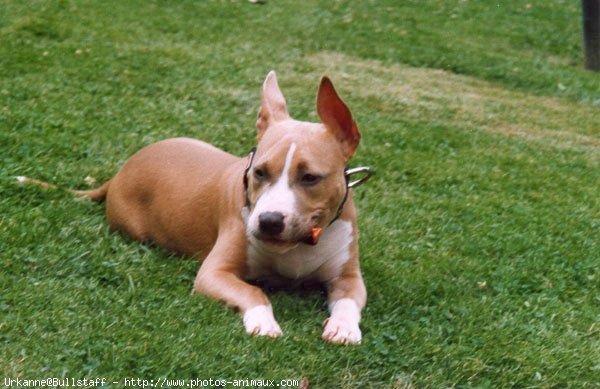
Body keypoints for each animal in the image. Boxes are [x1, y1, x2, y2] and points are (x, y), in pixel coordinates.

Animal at [19, 71, 370, 344]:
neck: (299, 245)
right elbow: (254, 292)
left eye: (310, 177)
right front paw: (263, 322)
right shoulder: (214, 273)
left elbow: (349, 301)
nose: (269, 221)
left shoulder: (349, 276)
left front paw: (343, 327)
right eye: (259, 172)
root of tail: (120, 172)